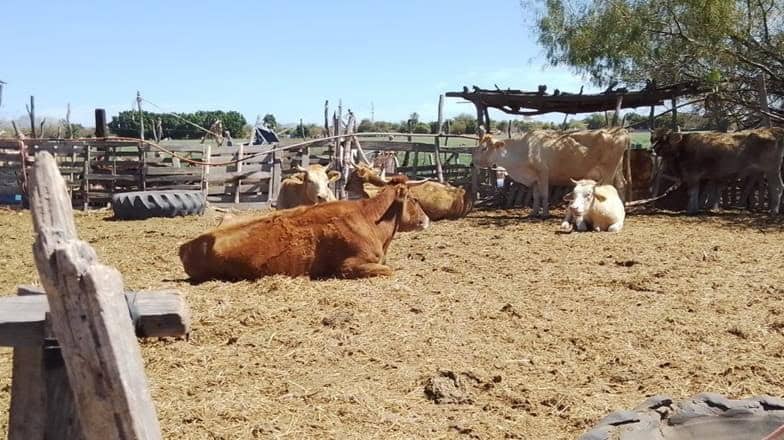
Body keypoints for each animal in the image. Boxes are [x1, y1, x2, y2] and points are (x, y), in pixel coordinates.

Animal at [178, 180, 428, 280]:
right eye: (414, 199)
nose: (426, 219)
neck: (369, 219)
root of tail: (188, 245)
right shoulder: (349, 265)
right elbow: (389, 270)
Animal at [472, 127, 632, 217]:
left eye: (484, 148)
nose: (473, 161)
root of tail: (620, 130)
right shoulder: (534, 179)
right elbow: (536, 196)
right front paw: (534, 213)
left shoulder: (543, 173)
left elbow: (544, 194)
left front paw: (544, 214)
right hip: (617, 169)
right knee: (622, 184)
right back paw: (622, 208)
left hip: (608, 170)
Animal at [648, 127, 784, 215]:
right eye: (652, 139)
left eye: (663, 139)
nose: (650, 150)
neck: (683, 146)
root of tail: (773, 130)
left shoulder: (693, 175)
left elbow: (693, 192)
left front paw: (691, 210)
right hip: (772, 170)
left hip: (771, 170)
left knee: (777, 187)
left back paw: (774, 210)